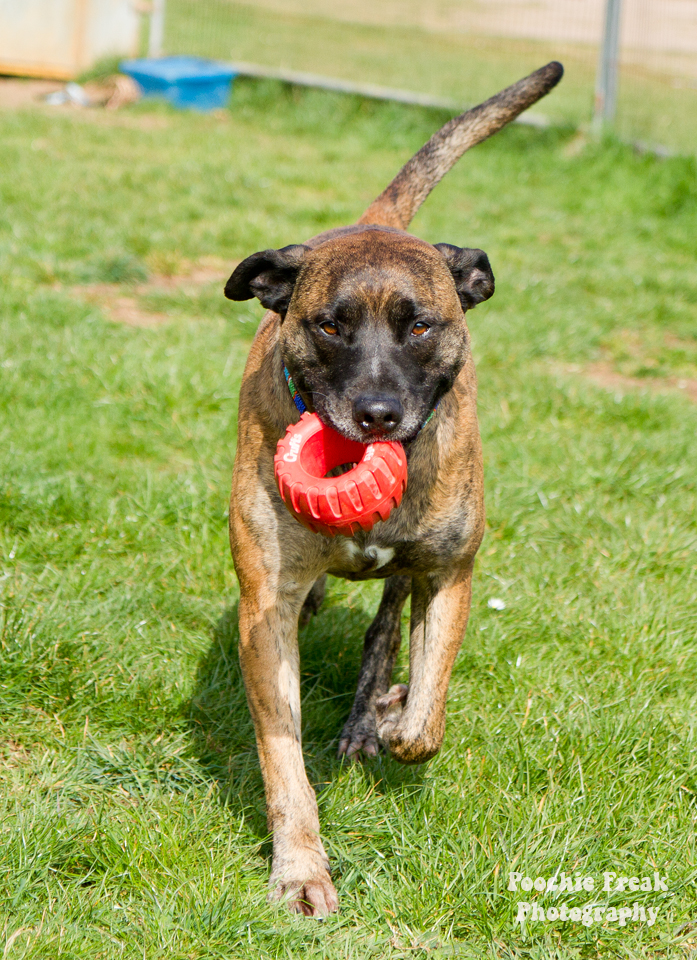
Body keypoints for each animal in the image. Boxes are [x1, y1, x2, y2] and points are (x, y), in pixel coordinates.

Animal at [226, 62, 564, 916]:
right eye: (329, 326)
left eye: (419, 326)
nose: (376, 414)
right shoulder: (264, 613)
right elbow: (283, 760)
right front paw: (300, 869)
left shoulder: (449, 573)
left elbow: (424, 721)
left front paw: (388, 715)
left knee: (386, 626)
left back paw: (368, 709)